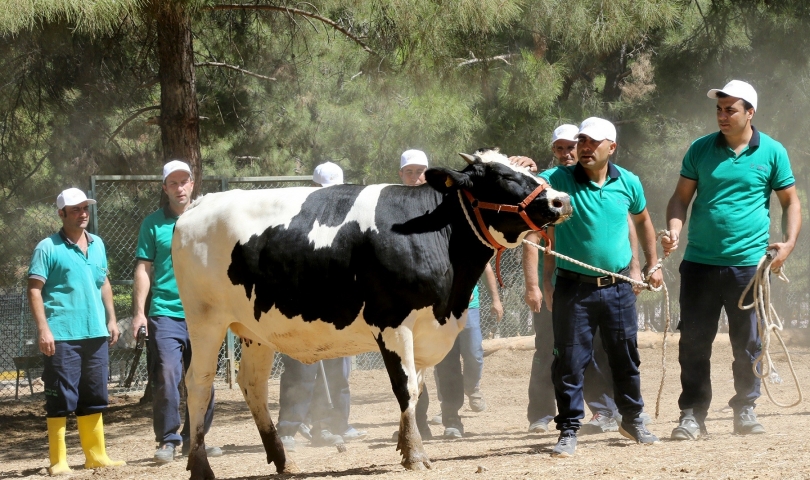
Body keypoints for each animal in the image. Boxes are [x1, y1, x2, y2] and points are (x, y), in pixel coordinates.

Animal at [174, 148, 572, 478]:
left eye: (526, 169)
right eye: (503, 176)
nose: (561, 200)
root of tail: (200, 204)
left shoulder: (425, 329)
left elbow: (419, 387)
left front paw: (405, 444)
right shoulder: (392, 322)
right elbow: (405, 387)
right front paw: (416, 455)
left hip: (254, 330)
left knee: (251, 384)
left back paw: (283, 460)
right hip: (206, 320)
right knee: (198, 384)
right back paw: (200, 466)